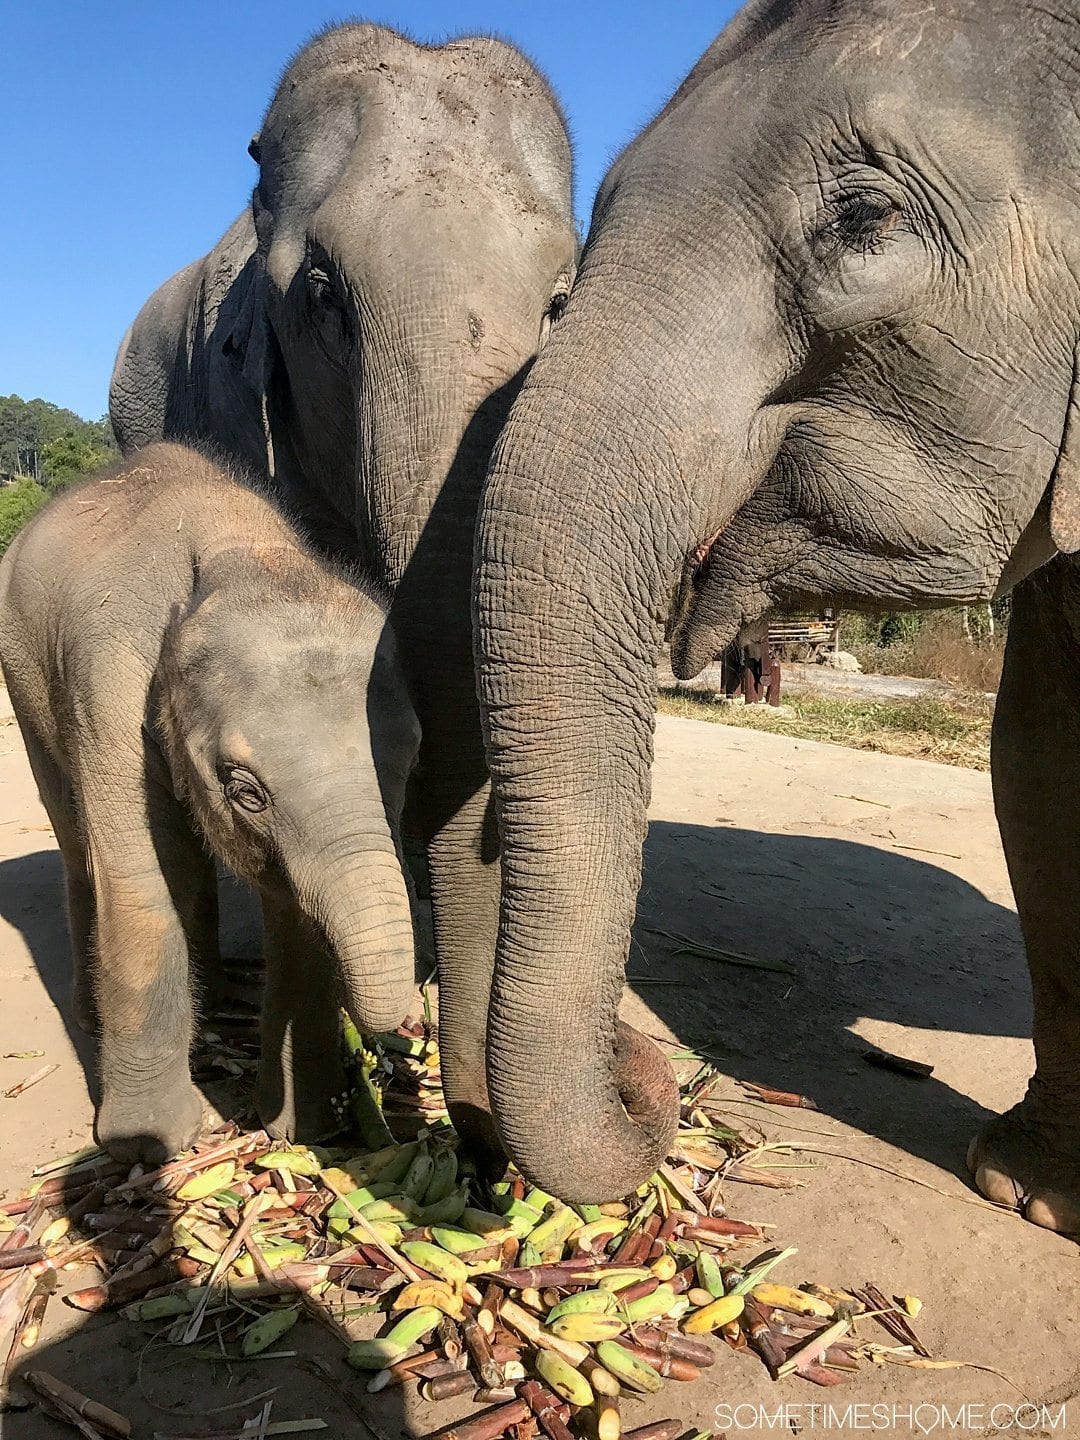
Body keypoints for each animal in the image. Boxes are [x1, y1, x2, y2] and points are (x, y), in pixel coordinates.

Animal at [0, 443, 417, 1163]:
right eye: (245, 791)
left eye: (414, 759)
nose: (391, 1045)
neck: (235, 550)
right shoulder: (106, 686)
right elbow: (139, 882)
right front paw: (149, 1145)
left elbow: (293, 907)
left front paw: (305, 1128)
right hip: (23, 679)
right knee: (78, 842)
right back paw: (93, 1016)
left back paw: (214, 997)